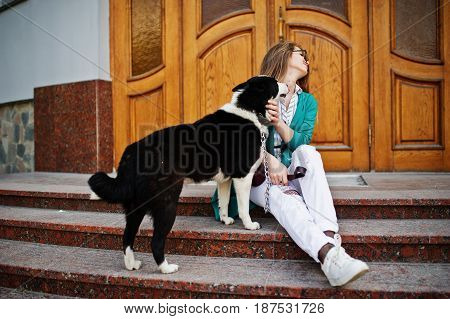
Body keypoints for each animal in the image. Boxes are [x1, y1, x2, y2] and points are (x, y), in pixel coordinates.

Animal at [88, 75, 288, 276]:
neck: (249, 108)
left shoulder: (225, 180)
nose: (289, 84)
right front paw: (249, 225)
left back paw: (131, 264)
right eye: (275, 82)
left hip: (136, 206)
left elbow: (223, 202)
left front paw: (225, 220)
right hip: (167, 203)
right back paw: (166, 268)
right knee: (156, 241)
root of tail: (132, 152)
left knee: (127, 236)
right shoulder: (243, 177)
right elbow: (243, 207)